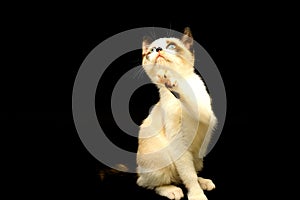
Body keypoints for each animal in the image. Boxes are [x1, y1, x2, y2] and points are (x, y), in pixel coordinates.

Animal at [137, 27, 218, 200]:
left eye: (171, 46)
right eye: (151, 51)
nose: (158, 50)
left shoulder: (208, 116)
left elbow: (190, 175)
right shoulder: (178, 142)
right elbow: (188, 175)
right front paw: (197, 195)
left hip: (198, 157)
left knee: (186, 175)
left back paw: (204, 182)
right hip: (162, 157)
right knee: (149, 183)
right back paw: (173, 190)